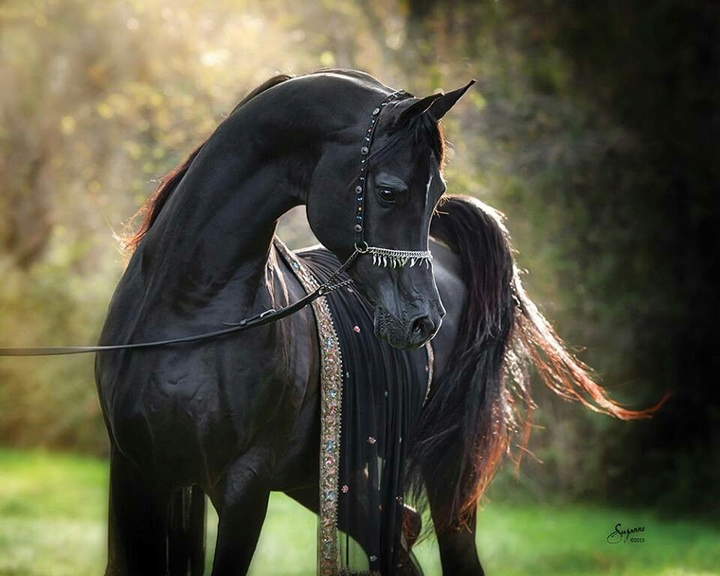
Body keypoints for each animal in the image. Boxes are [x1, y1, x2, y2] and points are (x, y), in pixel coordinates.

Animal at [95, 70, 653, 576]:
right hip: (327, 481)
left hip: (444, 481)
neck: (191, 309)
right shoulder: (139, 474)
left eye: (437, 191)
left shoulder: (244, 485)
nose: (423, 321)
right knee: (400, 535)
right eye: (387, 192)